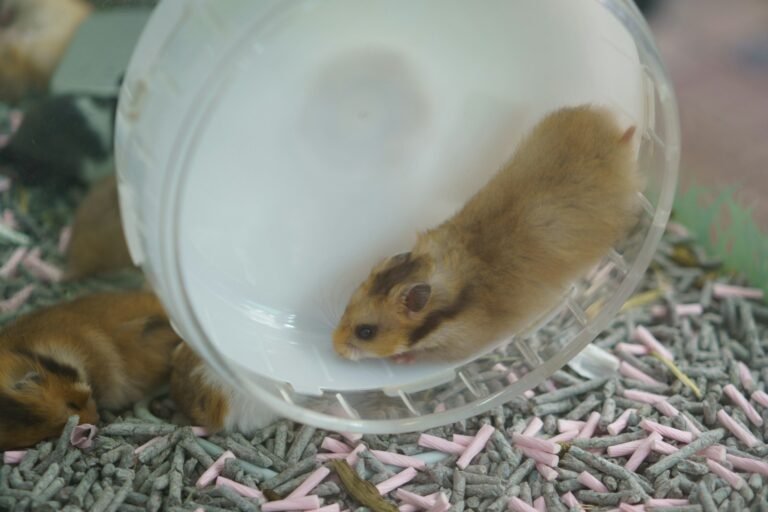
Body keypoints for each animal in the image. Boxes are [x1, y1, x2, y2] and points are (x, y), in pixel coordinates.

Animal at [333, 105, 641, 362]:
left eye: (366, 332)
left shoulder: (459, 343)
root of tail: (617, 137)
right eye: (346, 306)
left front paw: (401, 358)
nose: (334, 347)